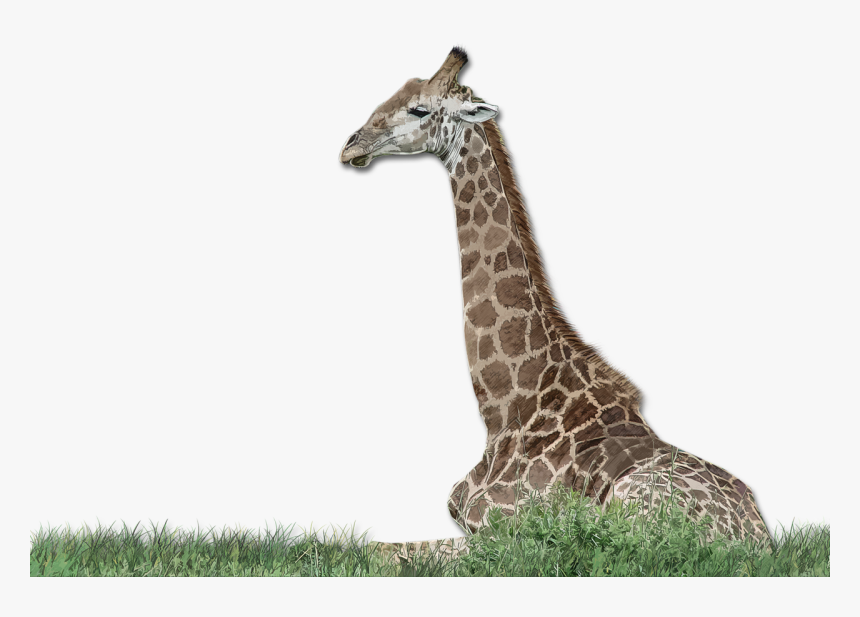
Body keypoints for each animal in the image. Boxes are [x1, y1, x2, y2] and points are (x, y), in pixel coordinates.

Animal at [339, 47, 771, 563]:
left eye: (419, 109)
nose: (351, 146)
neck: (507, 409)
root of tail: (758, 541)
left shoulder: (505, 532)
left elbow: (370, 548)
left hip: (630, 515)